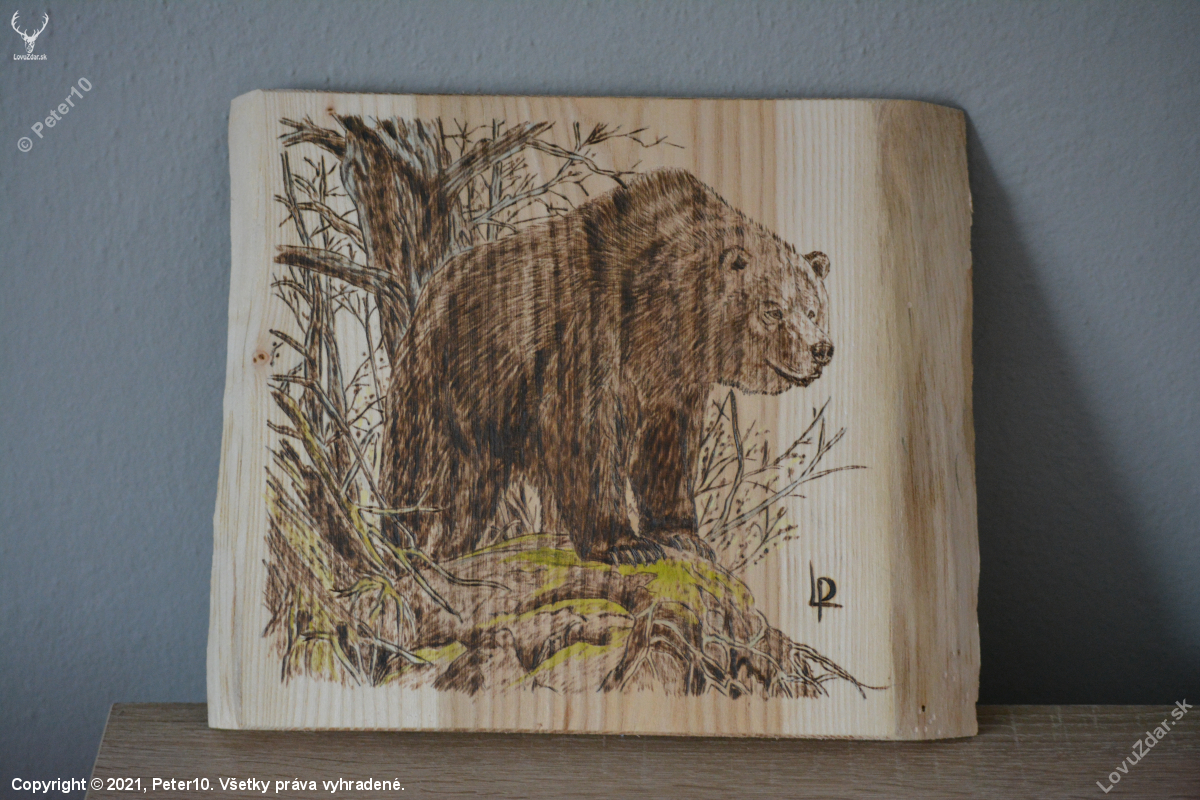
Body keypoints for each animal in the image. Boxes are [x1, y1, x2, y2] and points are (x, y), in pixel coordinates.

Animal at [379, 168, 833, 565]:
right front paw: (625, 545)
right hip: (445, 378)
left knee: (469, 497)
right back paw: (408, 550)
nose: (822, 349)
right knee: (425, 473)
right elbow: (583, 428)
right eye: (773, 309)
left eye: (813, 309)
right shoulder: (588, 331)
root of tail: (429, 293)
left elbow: (667, 445)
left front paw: (682, 535)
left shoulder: (673, 376)